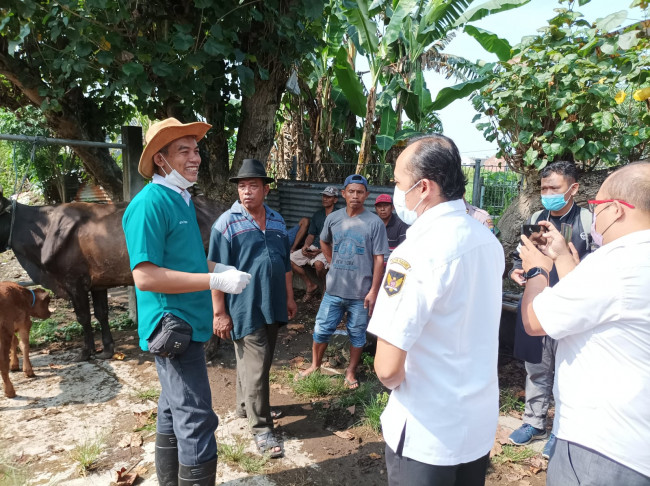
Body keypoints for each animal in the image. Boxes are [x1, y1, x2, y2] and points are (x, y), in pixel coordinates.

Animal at [0, 186, 225, 360]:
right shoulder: (97, 282)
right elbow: (101, 314)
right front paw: (107, 350)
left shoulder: (74, 282)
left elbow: (83, 317)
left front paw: (85, 352)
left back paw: (209, 349)